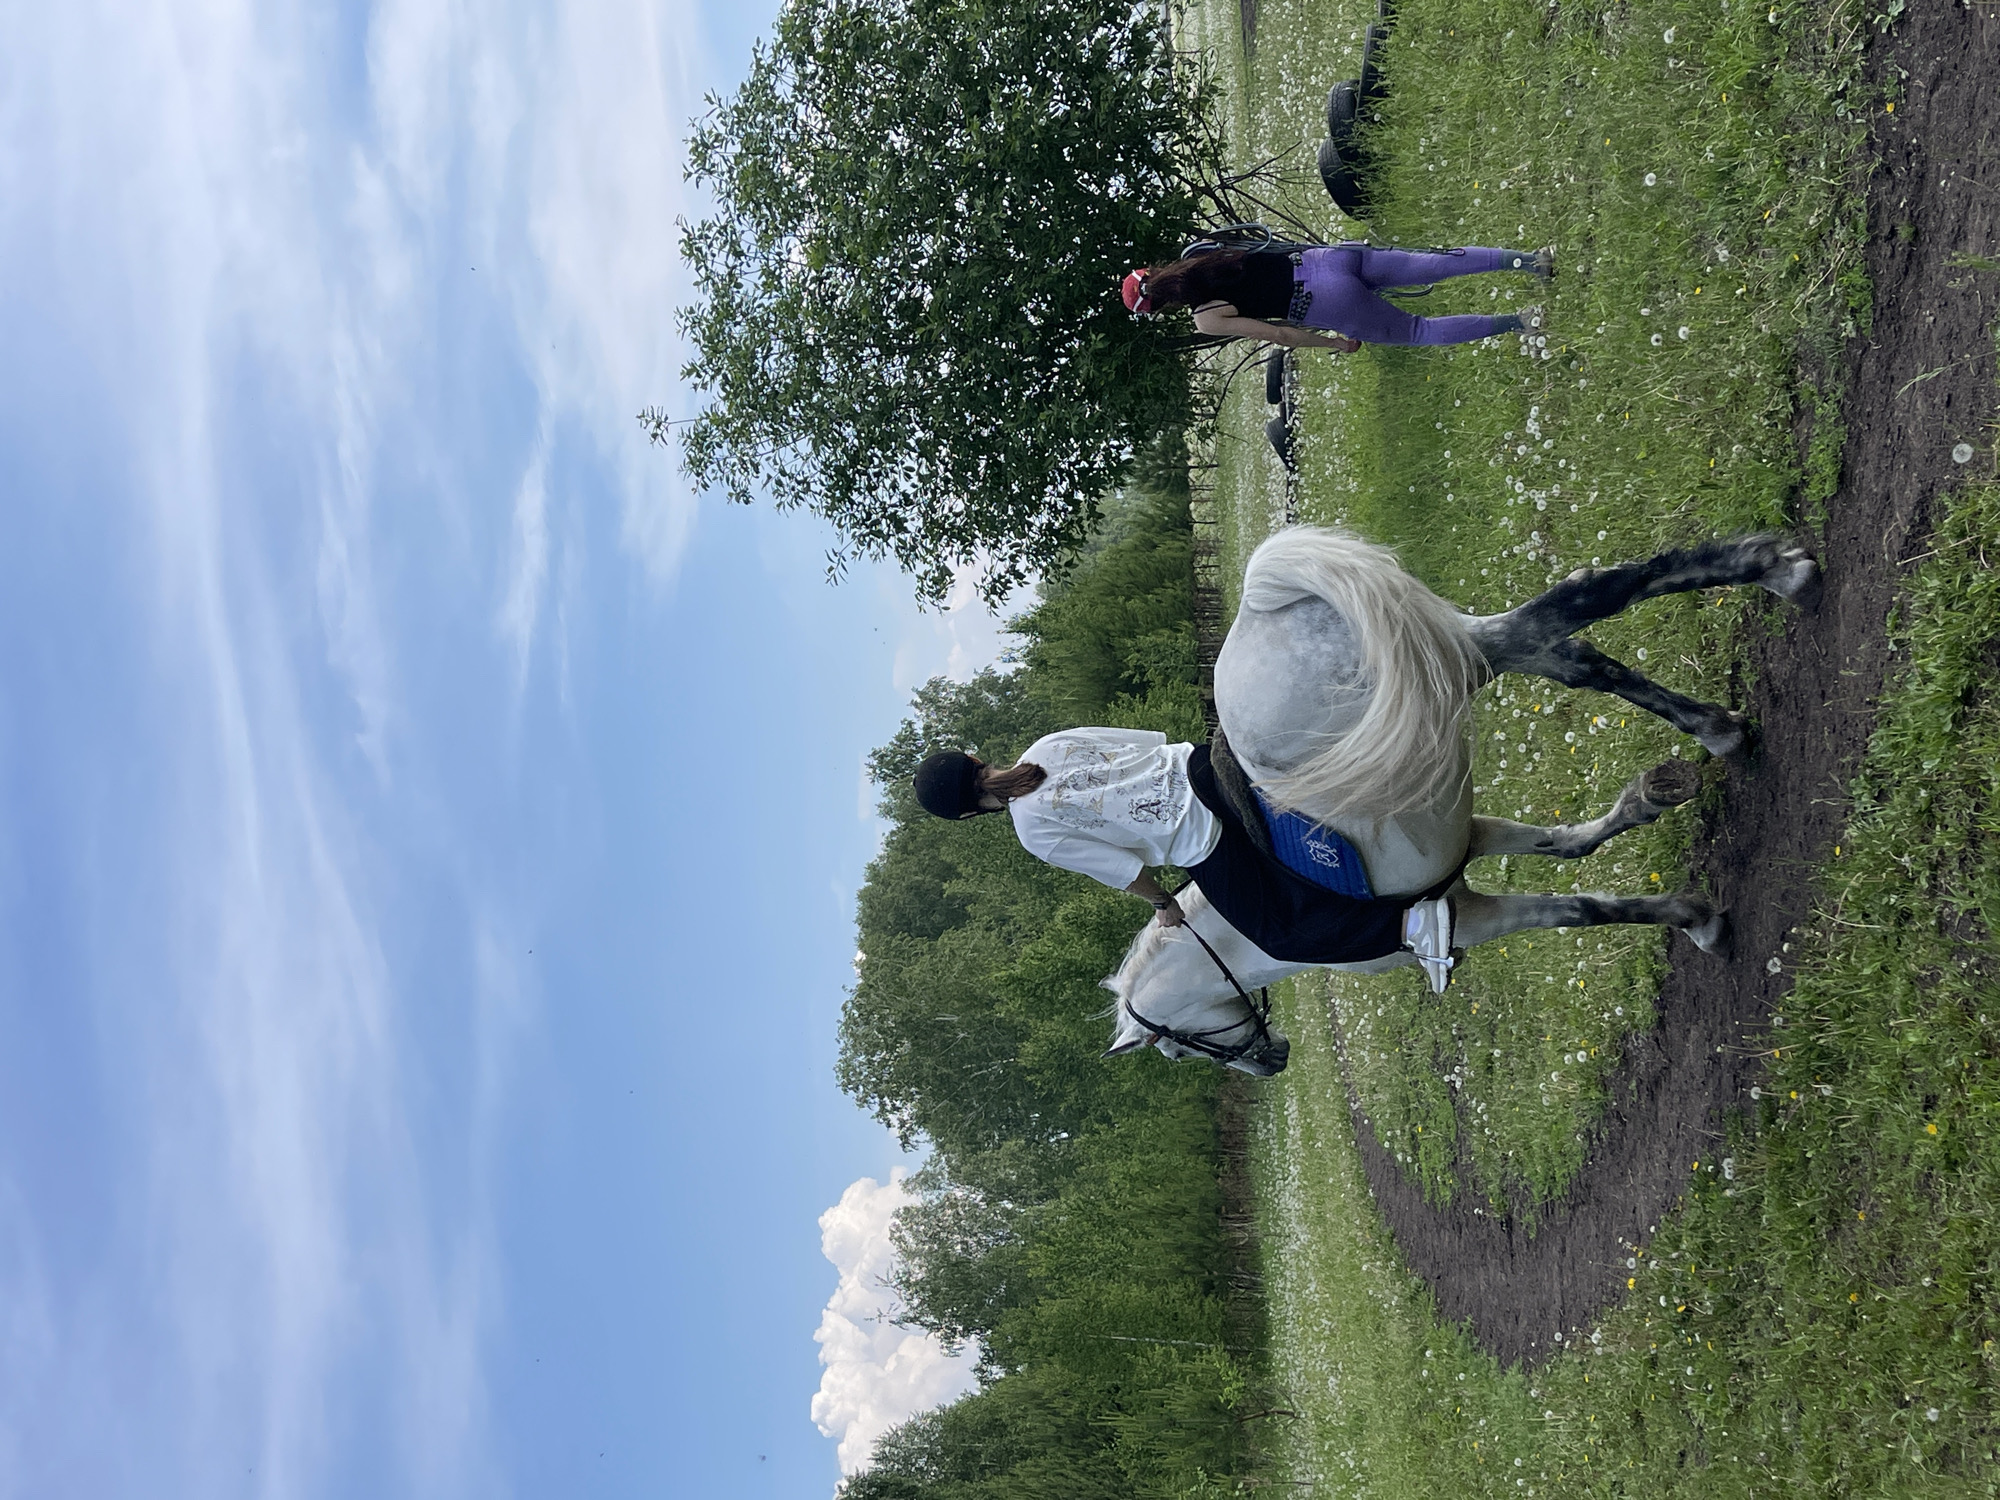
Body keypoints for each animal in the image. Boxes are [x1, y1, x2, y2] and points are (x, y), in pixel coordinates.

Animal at [1103, 527, 1819, 1075]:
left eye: (1182, 1049)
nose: (1269, 1063)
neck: (1257, 924)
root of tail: (1260, 606)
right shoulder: (1468, 841)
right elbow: (1566, 848)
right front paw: (1646, 805)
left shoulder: (1468, 919)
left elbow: (1579, 910)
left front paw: (1696, 919)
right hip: (1456, 653)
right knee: (1574, 653)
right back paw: (1722, 713)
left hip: (1459, 666)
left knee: (1574, 604)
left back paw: (1778, 574)